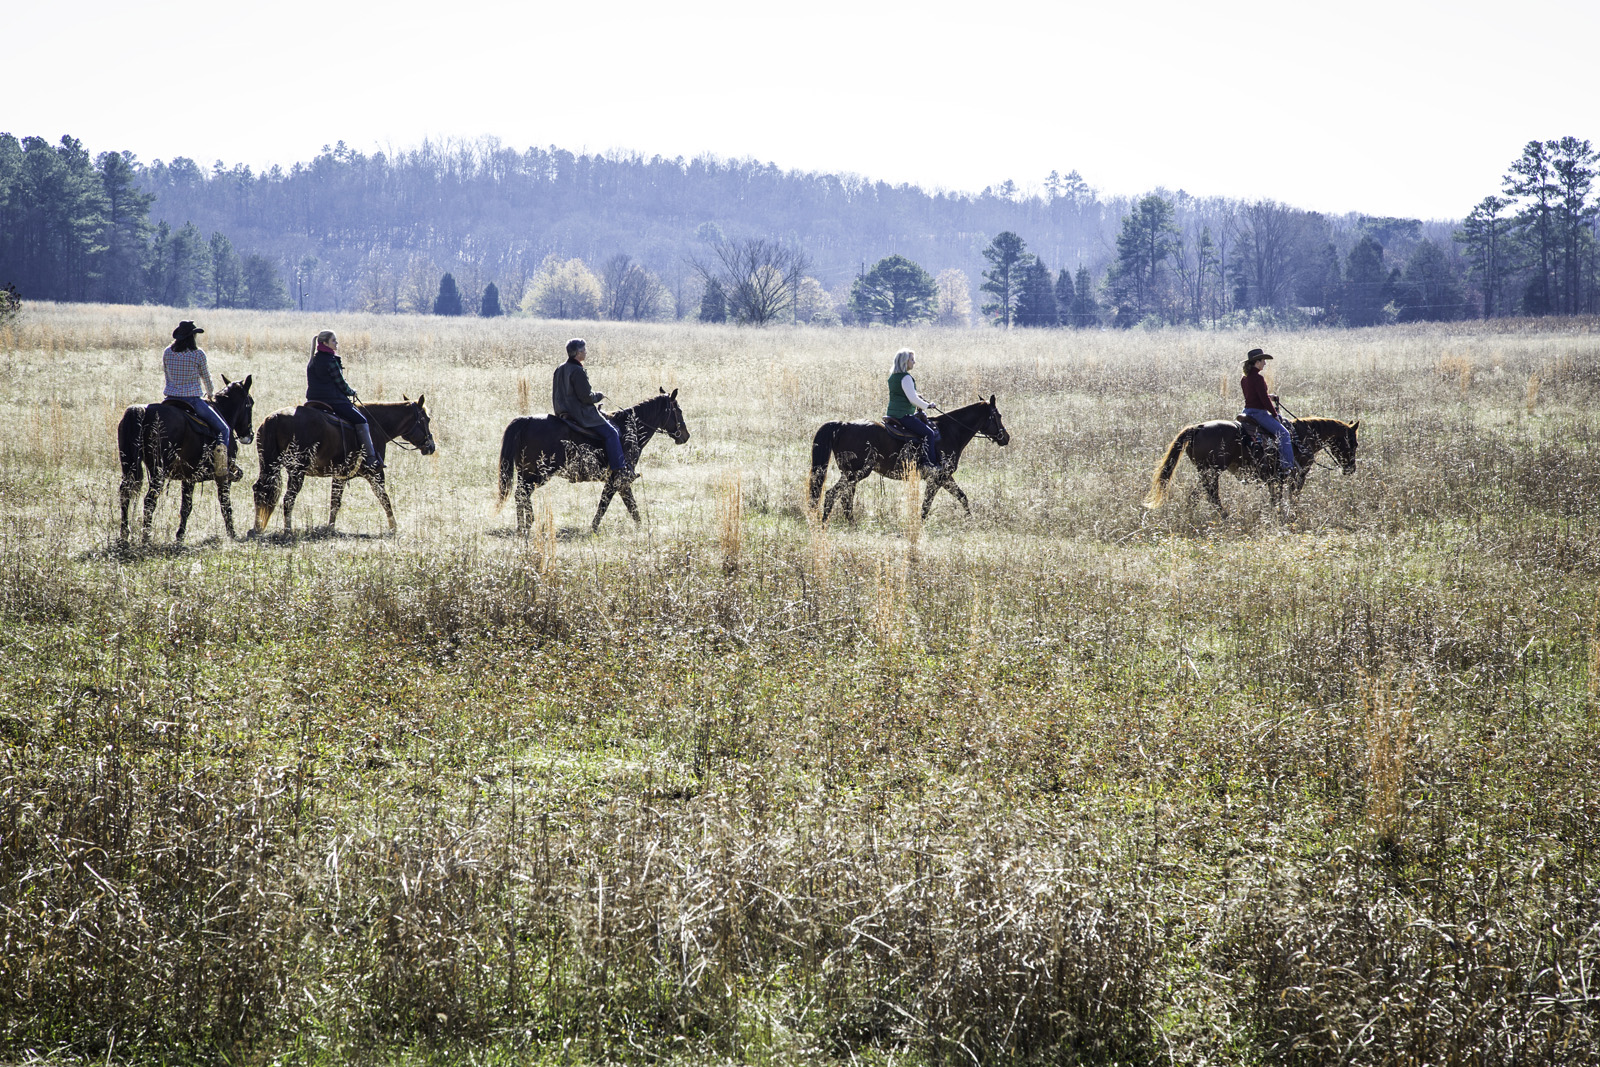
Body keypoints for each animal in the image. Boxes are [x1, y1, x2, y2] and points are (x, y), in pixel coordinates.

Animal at [118, 375, 257, 543]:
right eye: (250, 403)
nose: (249, 435)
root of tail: (142, 411)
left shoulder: (189, 477)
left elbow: (186, 507)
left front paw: (180, 536)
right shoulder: (223, 478)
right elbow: (225, 504)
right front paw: (232, 534)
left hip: (129, 466)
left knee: (125, 493)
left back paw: (125, 534)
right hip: (158, 471)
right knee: (149, 500)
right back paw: (146, 536)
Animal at [251, 398, 438, 537]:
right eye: (426, 419)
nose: (431, 446)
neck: (375, 424)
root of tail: (274, 418)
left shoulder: (339, 476)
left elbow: (335, 502)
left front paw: (330, 528)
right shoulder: (375, 473)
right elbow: (384, 498)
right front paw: (393, 527)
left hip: (269, 466)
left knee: (261, 490)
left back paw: (257, 527)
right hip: (297, 471)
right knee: (288, 499)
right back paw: (287, 531)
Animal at [496, 388, 691, 534]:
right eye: (678, 410)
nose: (686, 436)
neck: (631, 429)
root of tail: (526, 420)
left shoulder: (618, 482)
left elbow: (625, 505)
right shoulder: (618, 480)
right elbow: (610, 505)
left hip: (526, 473)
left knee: (519, 494)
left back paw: (522, 526)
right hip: (539, 474)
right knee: (523, 493)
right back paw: (529, 522)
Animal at [806, 396, 1004, 521]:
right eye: (998, 415)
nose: (1006, 437)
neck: (951, 432)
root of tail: (843, 425)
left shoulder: (945, 477)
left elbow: (962, 496)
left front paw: (970, 521)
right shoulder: (937, 478)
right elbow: (926, 505)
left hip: (850, 475)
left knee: (844, 497)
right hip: (855, 473)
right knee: (833, 494)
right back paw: (825, 523)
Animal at [1145, 415, 1356, 518]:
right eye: (1354, 443)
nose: (1351, 469)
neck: (1302, 437)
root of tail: (1198, 428)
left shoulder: (1275, 479)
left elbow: (1276, 498)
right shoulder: (1298, 476)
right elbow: (1292, 497)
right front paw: (1292, 514)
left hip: (1206, 472)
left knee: (1197, 495)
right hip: (1212, 471)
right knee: (1211, 495)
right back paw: (1226, 516)